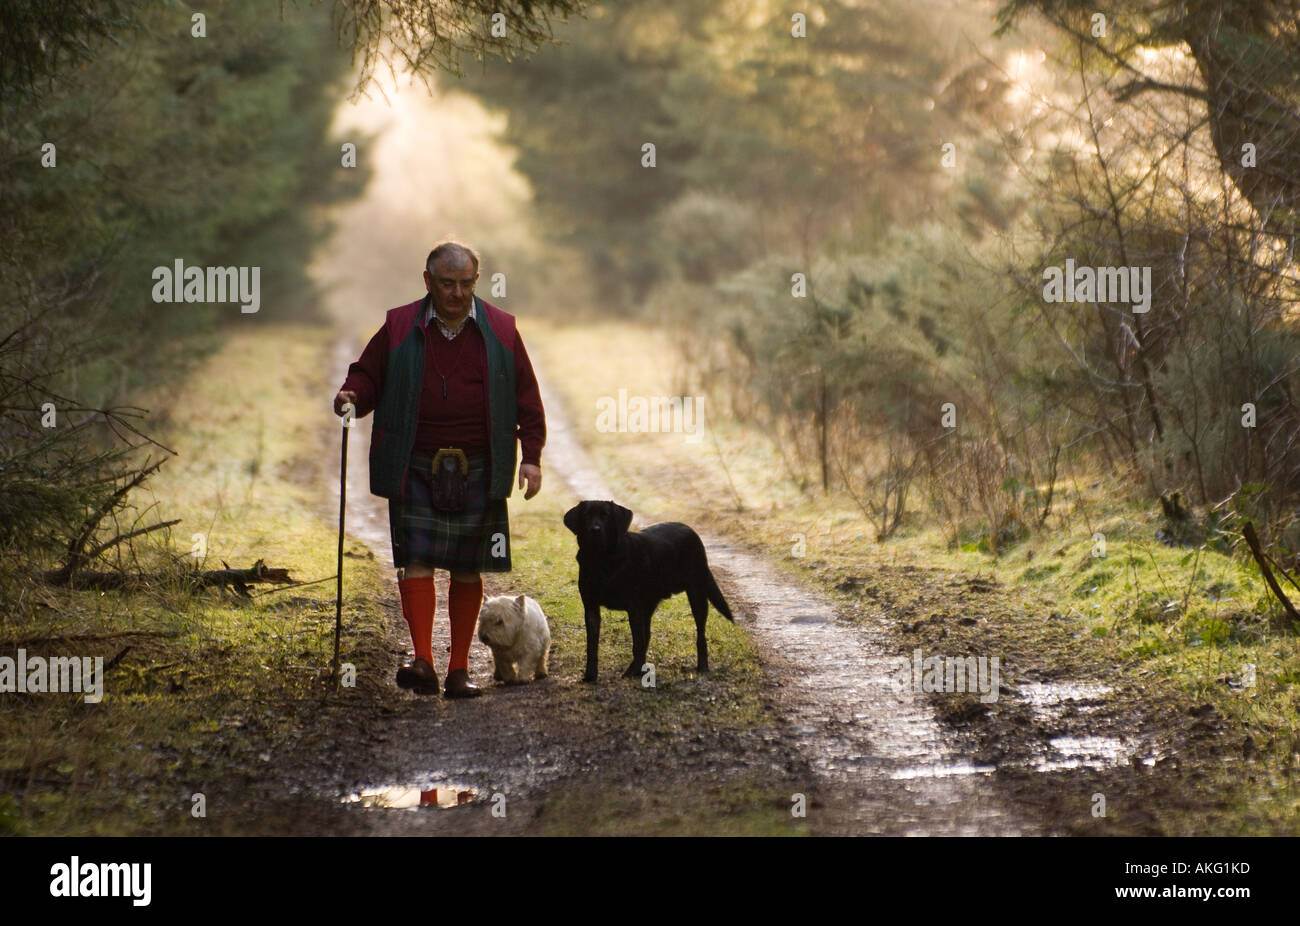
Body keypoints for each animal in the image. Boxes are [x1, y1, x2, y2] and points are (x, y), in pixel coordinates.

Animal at [564, 502, 738, 681]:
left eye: (605, 515)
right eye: (586, 515)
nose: (595, 529)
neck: (602, 560)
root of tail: (690, 529)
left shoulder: (633, 608)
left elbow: (636, 644)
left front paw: (634, 672)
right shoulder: (591, 608)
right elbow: (592, 646)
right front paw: (590, 675)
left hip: (696, 594)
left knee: (700, 634)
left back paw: (701, 667)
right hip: (649, 605)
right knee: (647, 636)